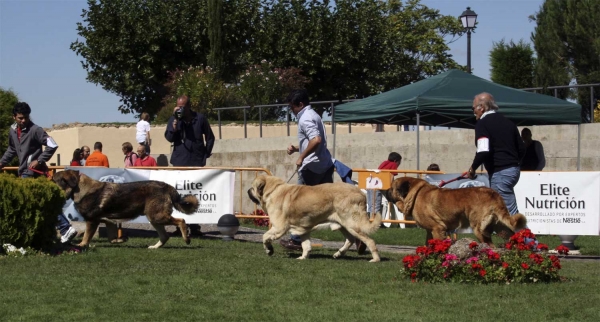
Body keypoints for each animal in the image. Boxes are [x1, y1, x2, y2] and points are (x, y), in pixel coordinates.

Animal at [52, 170, 198, 248]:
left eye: (54, 180)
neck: (80, 188)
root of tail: (167, 186)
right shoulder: (109, 221)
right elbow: (111, 238)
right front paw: (121, 240)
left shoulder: (92, 221)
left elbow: (87, 236)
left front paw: (81, 245)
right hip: (154, 219)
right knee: (165, 236)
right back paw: (154, 247)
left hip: (157, 216)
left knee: (181, 221)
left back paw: (186, 239)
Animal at [247, 176, 380, 262]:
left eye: (252, 187)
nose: (248, 190)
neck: (272, 190)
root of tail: (361, 193)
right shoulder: (303, 229)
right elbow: (306, 245)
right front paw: (303, 257)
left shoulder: (279, 228)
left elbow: (264, 237)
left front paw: (269, 250)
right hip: (343, 225)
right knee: (350, 240)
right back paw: (338, 254)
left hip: (352, 224)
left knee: (370, 241)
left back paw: (375, 259)